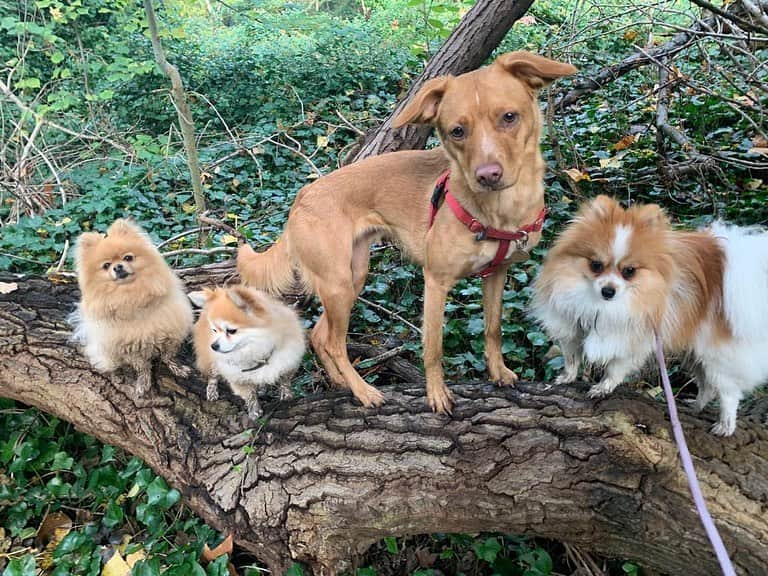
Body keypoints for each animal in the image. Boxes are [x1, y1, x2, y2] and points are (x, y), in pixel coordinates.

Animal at [238, 51, 576, 412]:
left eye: (509, 117)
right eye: (457, 131)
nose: (487, 175)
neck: (499, 210)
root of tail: (302, 196)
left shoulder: (497, 273)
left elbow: (493, 328)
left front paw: (498, 371)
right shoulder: (436, 281)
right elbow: (434, 346)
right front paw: (436, 394)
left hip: (352, 277)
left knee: (319, 336)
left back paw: (341, 383)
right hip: (337, 284)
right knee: (335, 343)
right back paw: (363, 391)